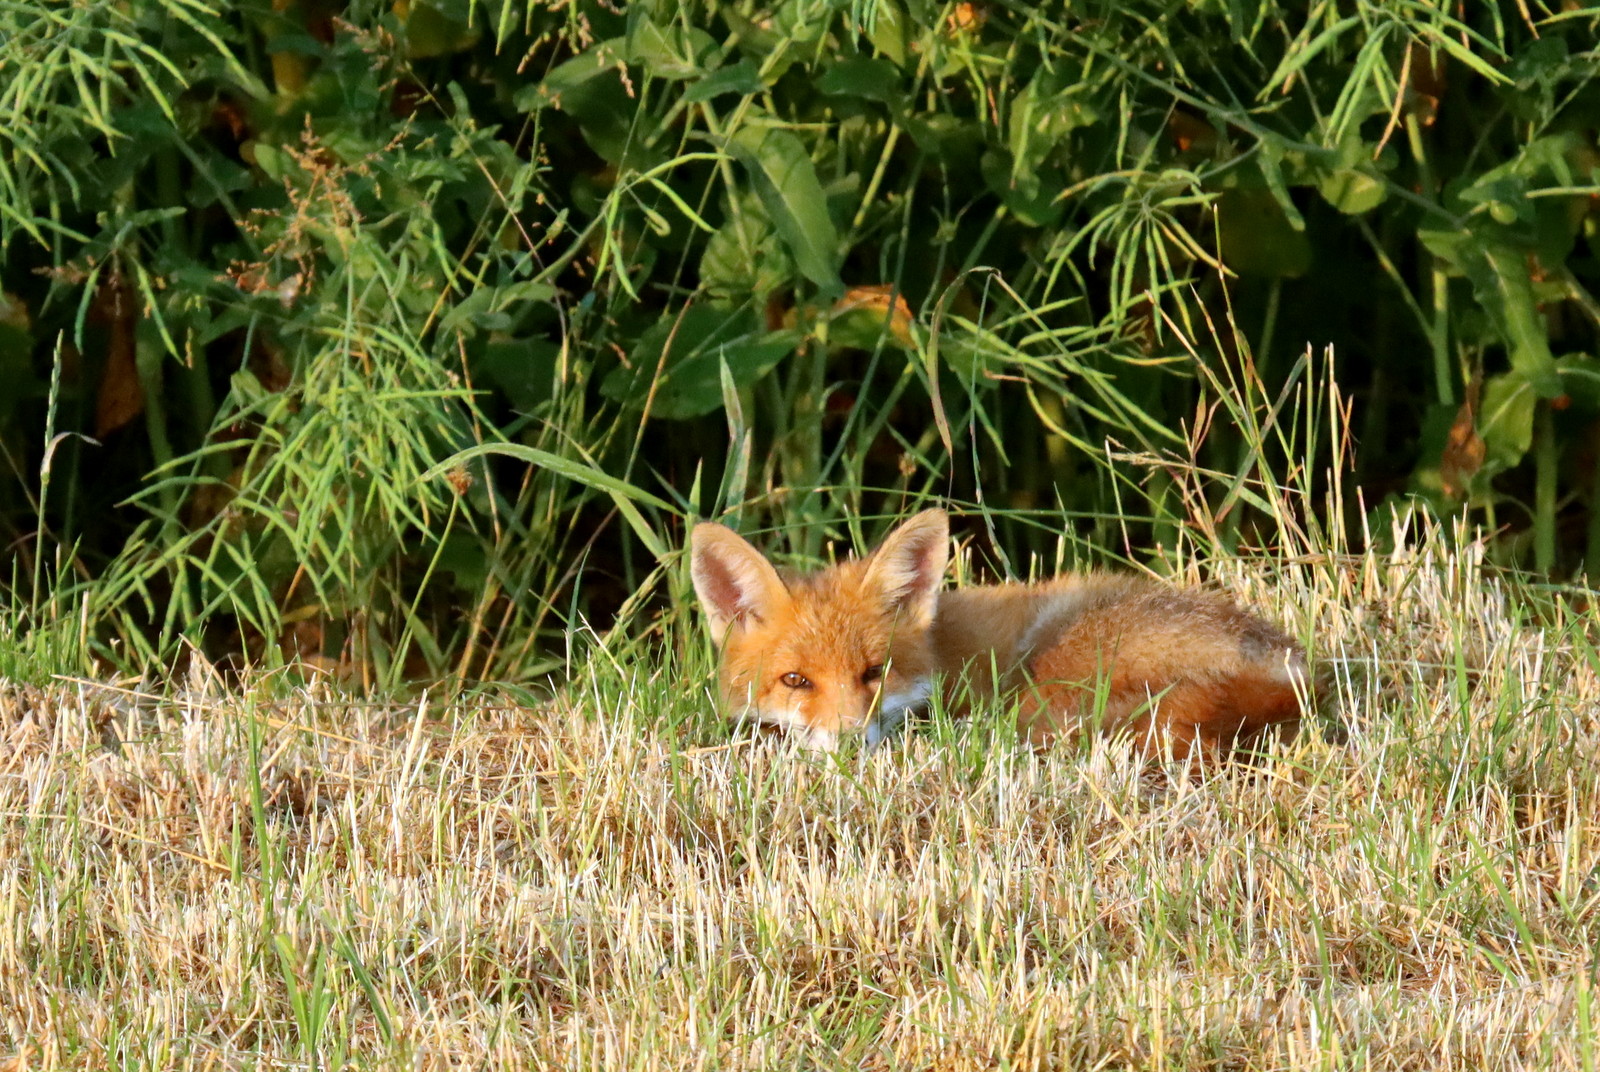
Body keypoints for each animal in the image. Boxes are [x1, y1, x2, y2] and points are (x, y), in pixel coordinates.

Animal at [691, 508, 1312, 755]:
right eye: (796, 680)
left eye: (874, 672)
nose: (846, 745)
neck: (944, 653)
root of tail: (1296, 672)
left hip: (1055, 658)